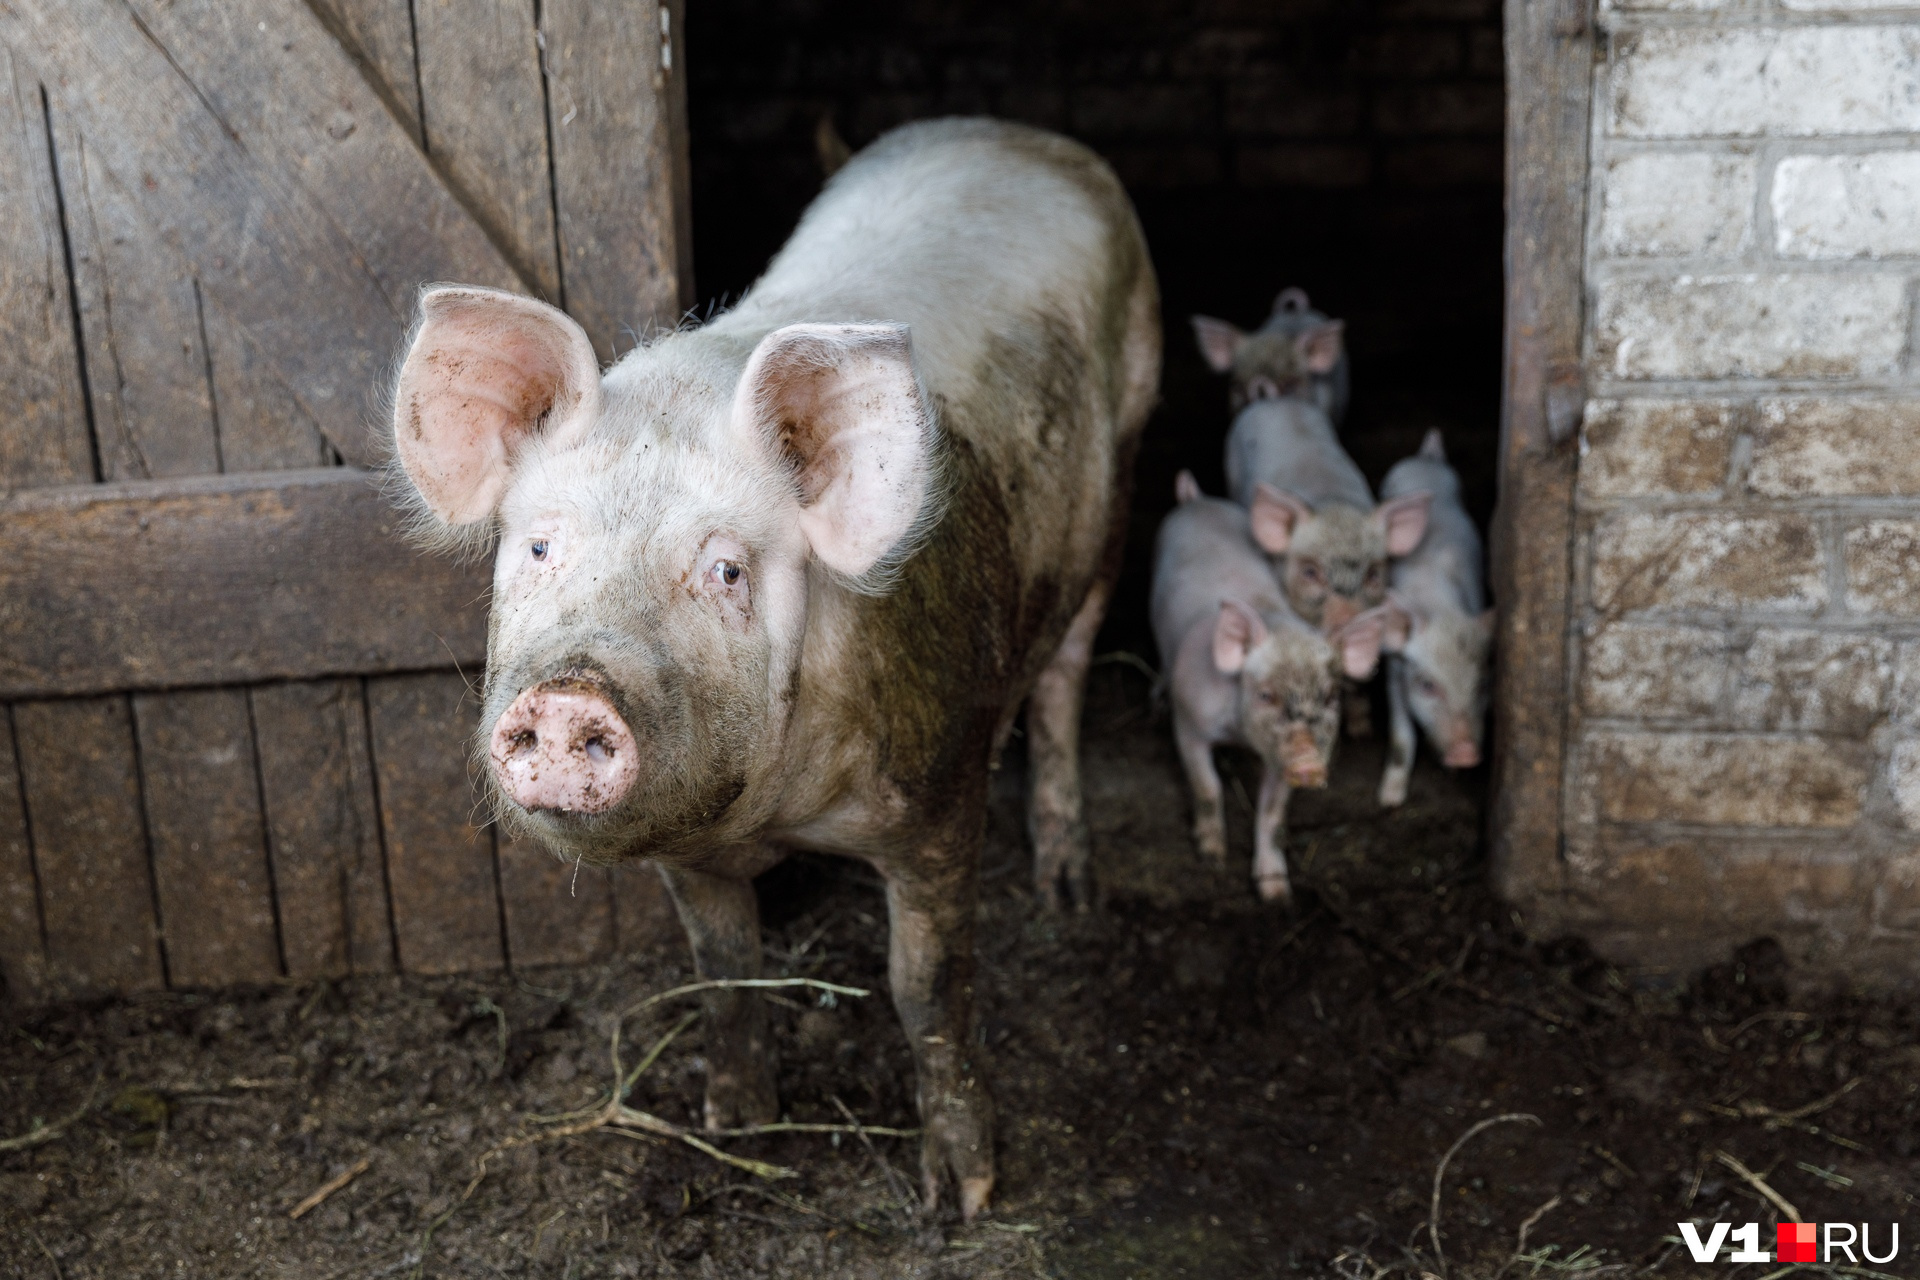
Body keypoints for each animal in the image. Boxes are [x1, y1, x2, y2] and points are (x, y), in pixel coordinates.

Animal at [376, 119, 1152, 1220]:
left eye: (726, 569)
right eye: (538, 547)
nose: (570, 696)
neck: (774, 815)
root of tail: (1011, 133)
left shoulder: (941, 785)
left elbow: (928, 987)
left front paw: (962, 1196)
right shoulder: (683, 848)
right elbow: (722, 968)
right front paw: (732, 1125)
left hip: (1125, 456)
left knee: (1066, 677)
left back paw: (1068, 887)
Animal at [1152, 470, 1397, 901]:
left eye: (1330, 696)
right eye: (1266, 694)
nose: (1309, 763)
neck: (1240, 736)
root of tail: (1197, 501)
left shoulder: (1278, 761)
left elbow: (1271, 815)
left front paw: (1277, 894)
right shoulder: (1189, 724)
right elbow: (1207, 787)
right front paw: (1212, 859)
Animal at [1374, 433, 1489, 809]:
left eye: (1481, 685)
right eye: (1426, 685)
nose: (1467, 753)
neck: (1439, 609)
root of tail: (1426, 458)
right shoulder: (1394, 667)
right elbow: (1400, 735)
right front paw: (1389, 800)